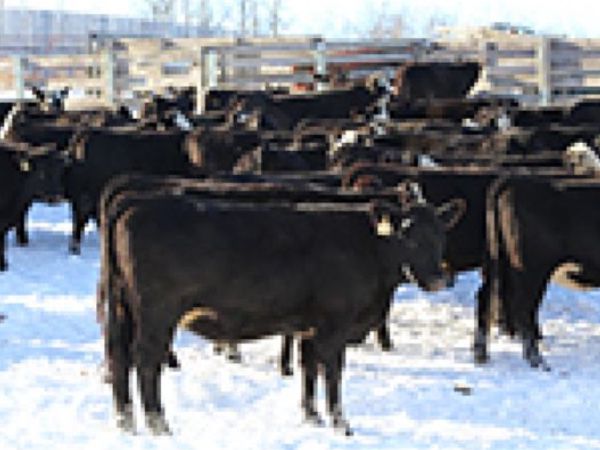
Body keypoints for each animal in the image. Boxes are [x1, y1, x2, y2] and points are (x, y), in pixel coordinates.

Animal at [101, 186, 464, 435]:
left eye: (441, 236)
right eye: (407, 236)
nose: (438, 278)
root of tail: (138, 200)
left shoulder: (310, 326)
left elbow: (309, 370)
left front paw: (312, 418)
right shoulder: (335, 325)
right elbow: (332, 372)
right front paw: (341, 424)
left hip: (123, 308)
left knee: (119, 357)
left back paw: (125, 423)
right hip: (157, 313)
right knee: (145, 360)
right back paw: (159, 425)